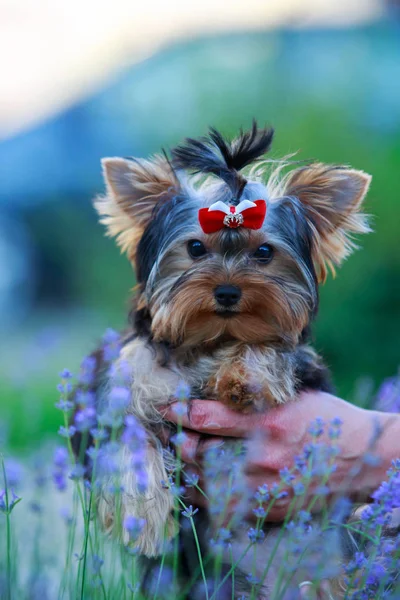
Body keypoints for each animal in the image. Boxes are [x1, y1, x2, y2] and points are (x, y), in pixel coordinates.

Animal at [81, 122, 372, 596]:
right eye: (196, 248)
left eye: (265, 252)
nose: (228, 292)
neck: (211, 337)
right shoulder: (127, 376)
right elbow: (124, 430)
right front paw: (144, 518)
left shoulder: (302, 361)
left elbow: (272, 348)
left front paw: (244, 379)